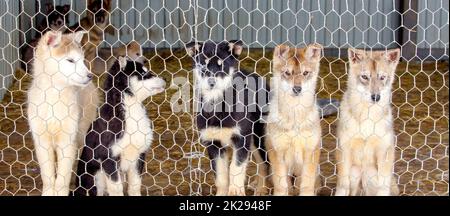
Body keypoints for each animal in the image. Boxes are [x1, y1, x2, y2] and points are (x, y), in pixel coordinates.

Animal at [27, 30, 92, 196]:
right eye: (70, 60)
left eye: (82, 60)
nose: (90, 76)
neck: (53, 95)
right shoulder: (42, 141)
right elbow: (48, 176)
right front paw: (49, 193)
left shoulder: (68, 140)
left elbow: (63, 177)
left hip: (82, 130)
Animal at [74, 56, 166, 195]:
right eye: (143, 73)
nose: (165, 79)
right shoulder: (109, 158)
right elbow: (116, 188)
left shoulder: (139, 156)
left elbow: (135, 186)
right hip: (96, 177)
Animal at [268, 44, 324, 196]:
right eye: (287, 73)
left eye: (305, 73)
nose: (297, 89)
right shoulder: (278, 153)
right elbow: (281, 186)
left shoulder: (310, 152)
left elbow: (306, 186)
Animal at [334, 48, 400, 196]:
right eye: (365, 77)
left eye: (382, 77)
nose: (376, 97)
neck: (367, 116)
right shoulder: (345, 150)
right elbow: (342, 186)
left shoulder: (384, 152)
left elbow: (383, 188)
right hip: (355, 173)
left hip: (371, 174)